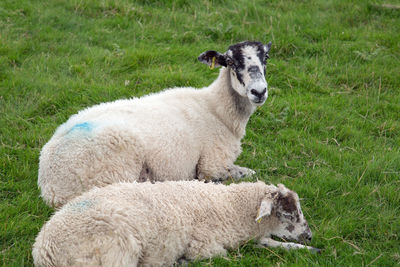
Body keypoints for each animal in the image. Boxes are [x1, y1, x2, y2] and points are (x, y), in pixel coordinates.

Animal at [32, 181, 318, 266]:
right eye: (289, 213)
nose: (309, 235)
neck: (229, 207)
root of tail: (44, 251)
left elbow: (271, 243)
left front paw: (310, 251)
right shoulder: (204, 246)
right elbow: (222, 254)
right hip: (117, 249)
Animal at [37, 40, 274, 207]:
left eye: (266, 57)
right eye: (231, 62)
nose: (259, 91)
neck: (217, 110)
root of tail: (50, 186)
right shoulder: (212, 165)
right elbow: (249, 173)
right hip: (115, 170)